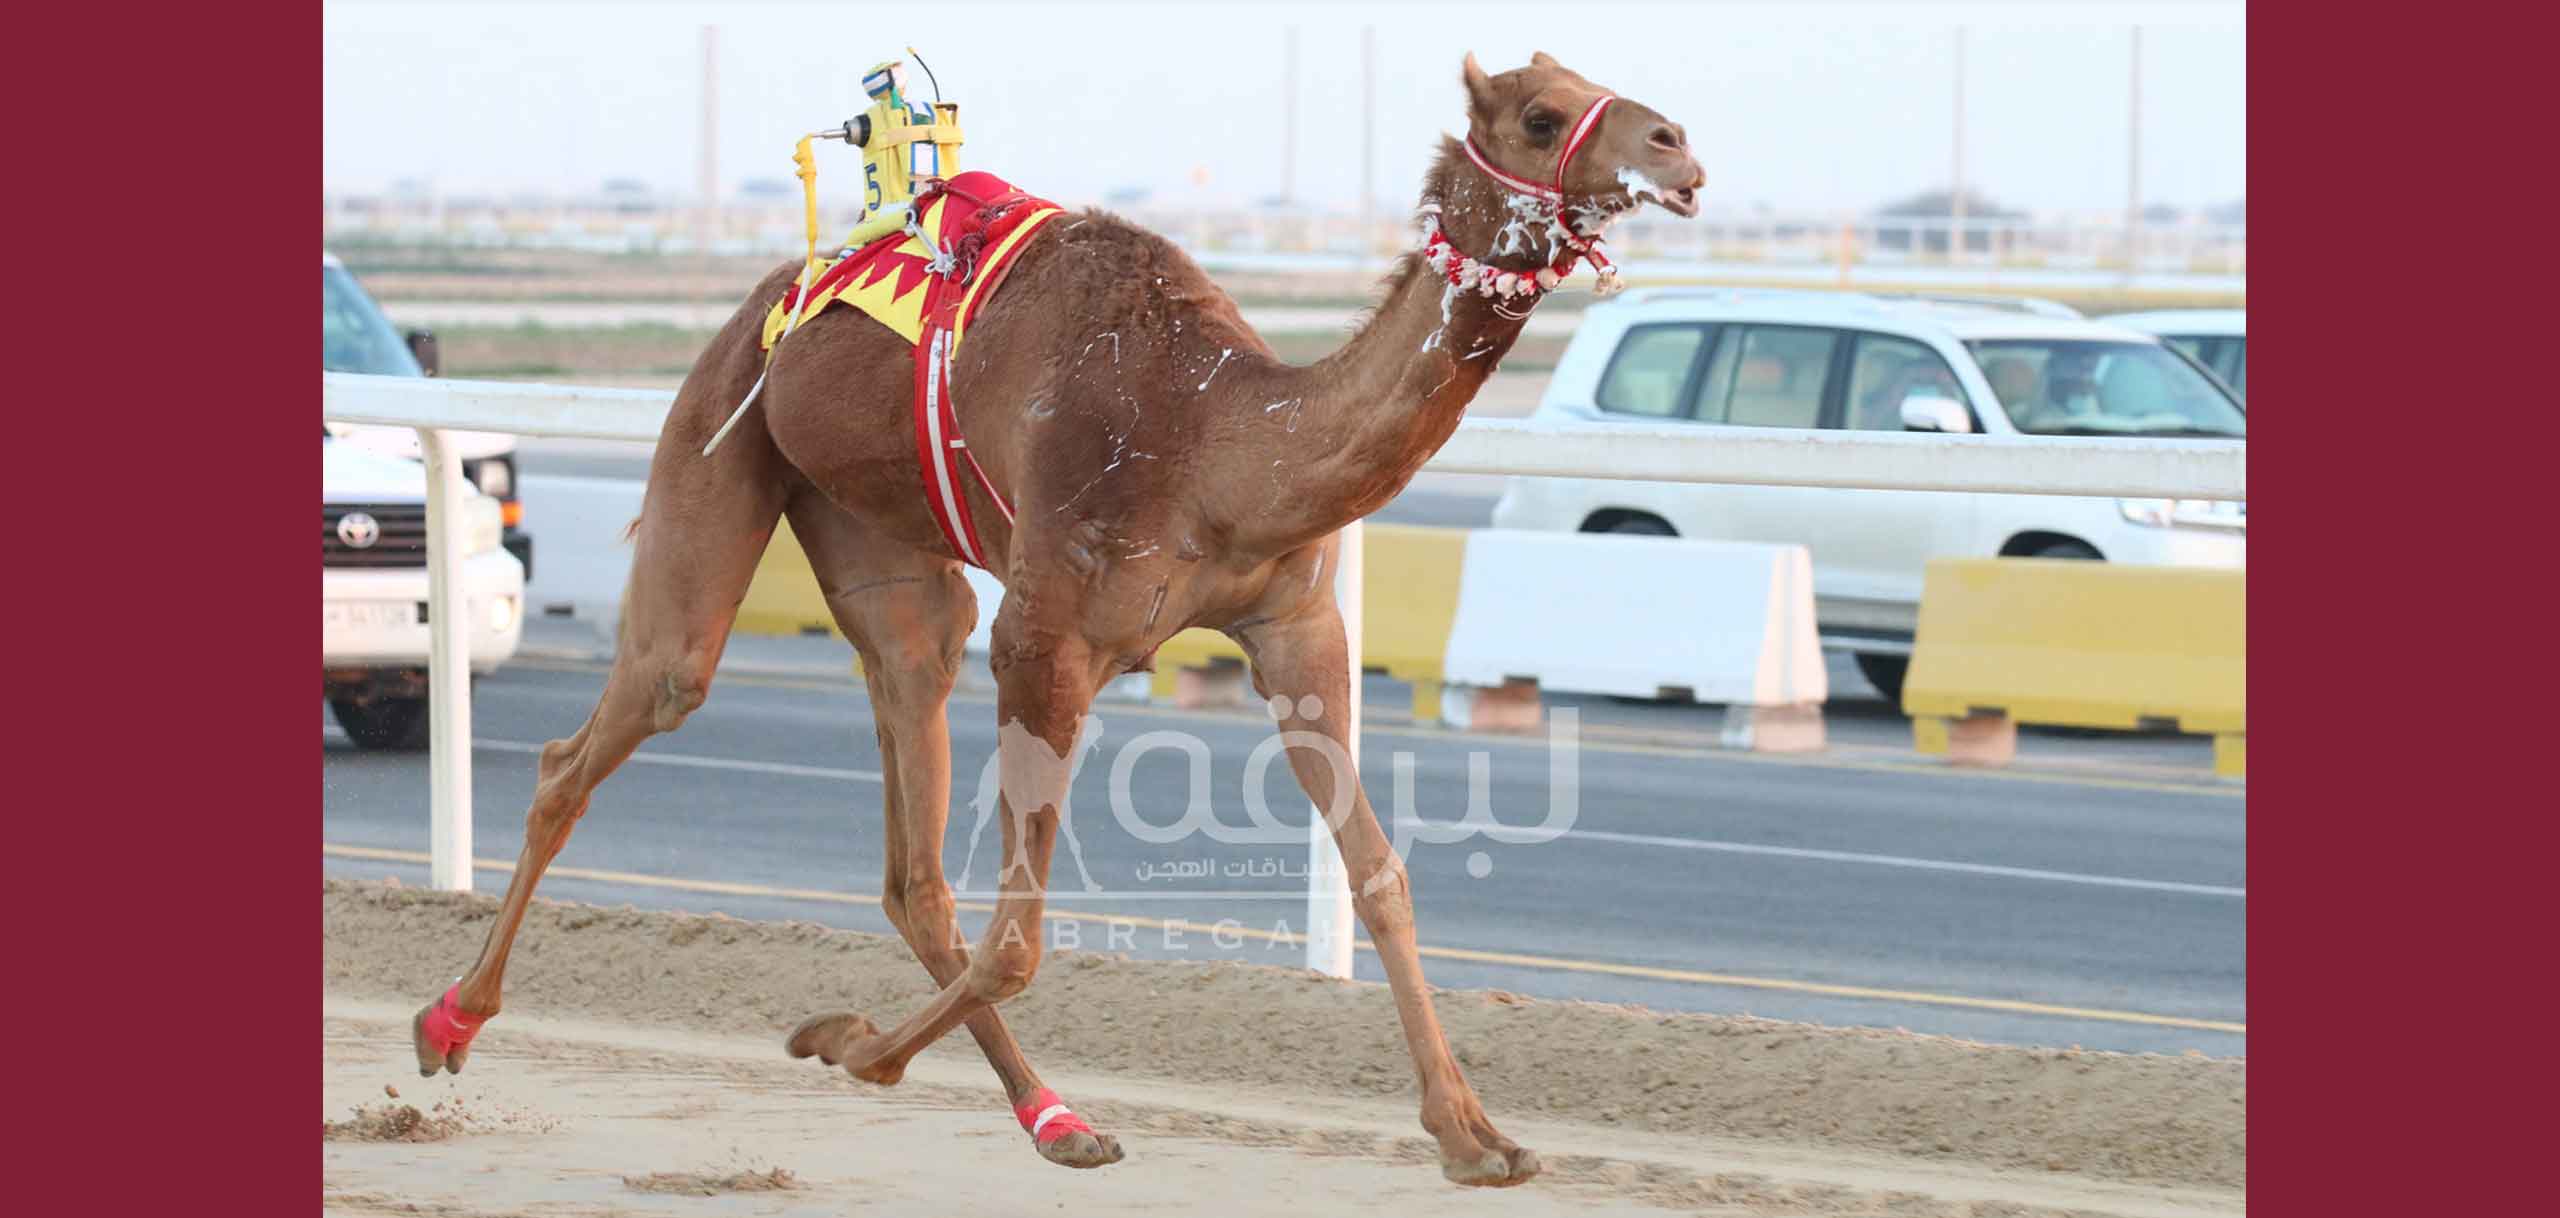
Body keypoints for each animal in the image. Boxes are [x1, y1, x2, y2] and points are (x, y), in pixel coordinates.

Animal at [409, 52, 1699, 1182]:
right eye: (1540, 114)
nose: (1679, 148)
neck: (1220, 442)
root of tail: (782, 292)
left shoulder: (1296, 626)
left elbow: (1379, 874)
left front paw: (1477, 1137)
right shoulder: (1047, 641)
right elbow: (1022, 940)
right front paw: (845, 1044)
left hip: (878, 541)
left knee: (912, 828)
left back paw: (1056, 1120)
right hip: (720, 429)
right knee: (616, 723)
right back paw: (447, 1024)